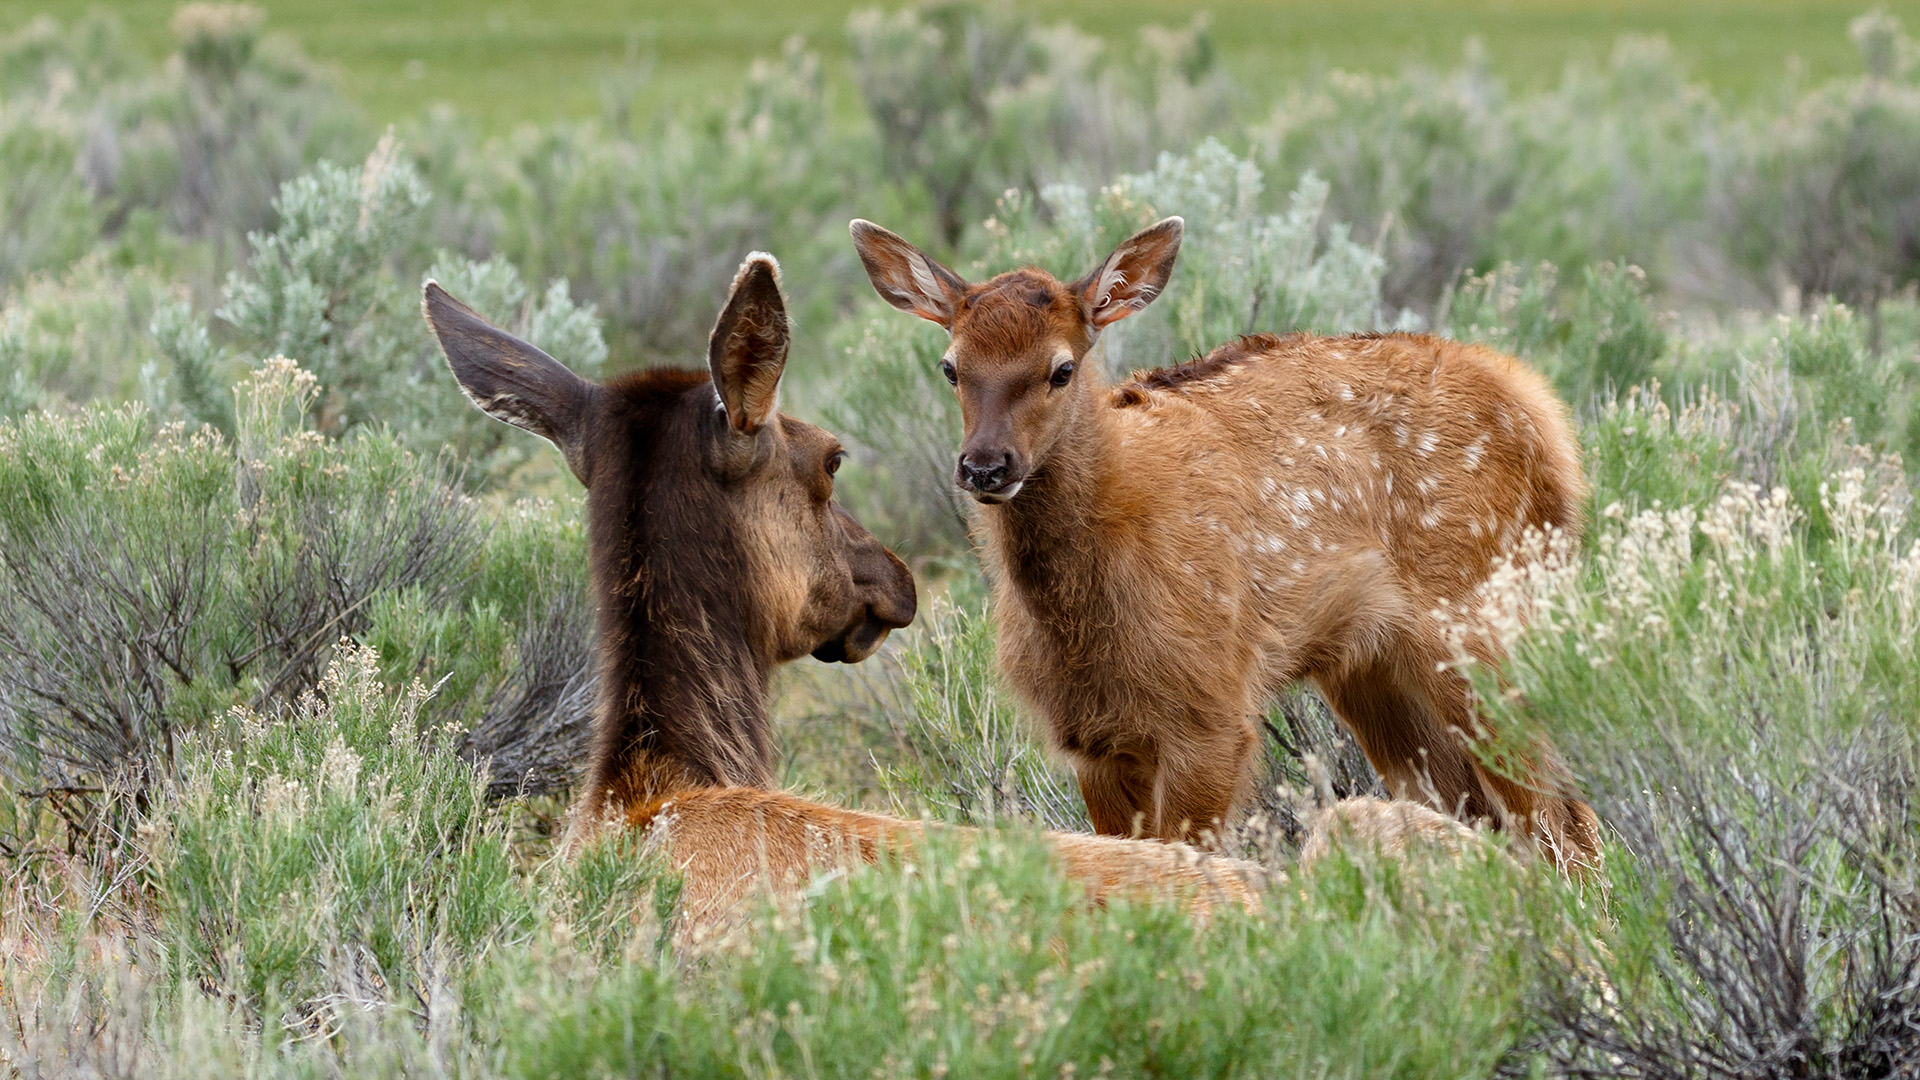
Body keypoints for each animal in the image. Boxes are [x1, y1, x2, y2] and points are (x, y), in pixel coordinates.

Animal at [852, 216, 1605, 864]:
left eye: (1061, 368)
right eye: (951, 367)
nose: (985, 466)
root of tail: (1546, 420)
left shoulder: (1209, 709)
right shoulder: (1091, 740)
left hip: (1483, 618)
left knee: (1564, 817)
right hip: (1373, 665)